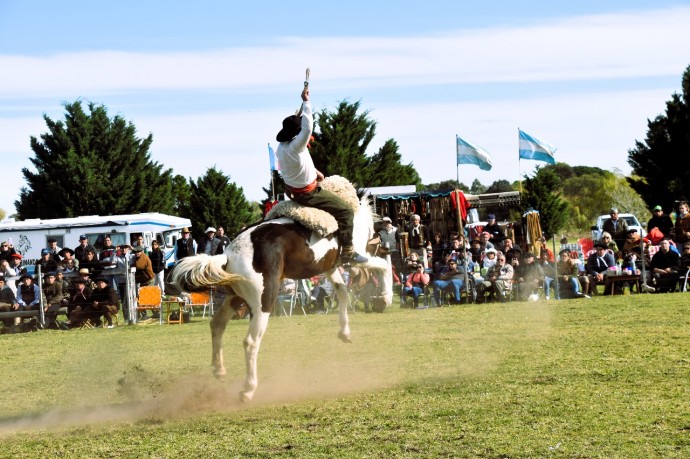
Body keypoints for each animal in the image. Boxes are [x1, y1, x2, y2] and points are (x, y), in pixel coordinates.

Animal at [170, 180, 390, 402]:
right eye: (380, 240)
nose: (388, 249)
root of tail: (228, 255)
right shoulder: (356, 257)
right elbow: (383, 267)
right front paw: (385, 298)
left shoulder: (330, 267)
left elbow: (343, 292)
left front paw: (344, 332)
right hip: (264, 301)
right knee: (250, 342)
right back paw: (248, 389)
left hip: (236, 296)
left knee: (217, 325)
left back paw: (219, 370)